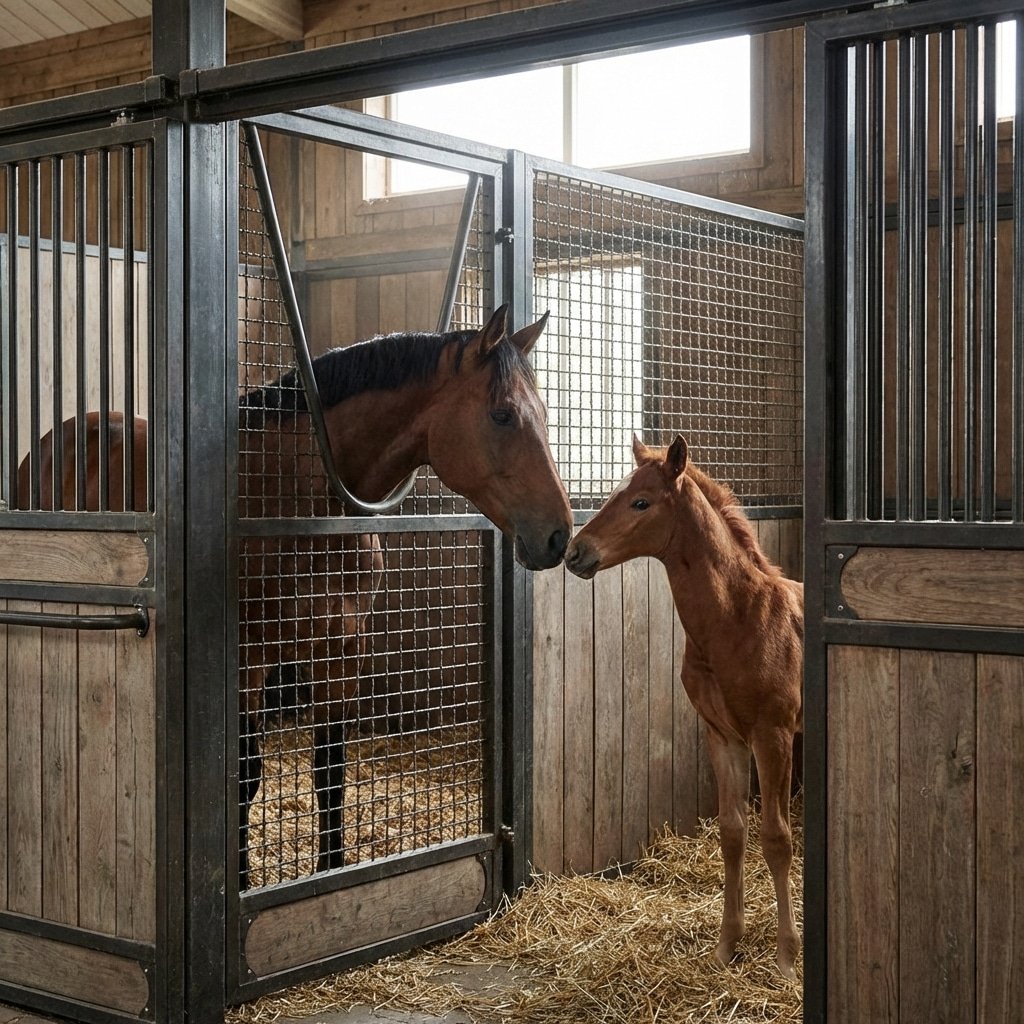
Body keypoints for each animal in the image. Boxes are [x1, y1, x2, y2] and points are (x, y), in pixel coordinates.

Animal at [17, 304, 573, 887]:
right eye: (503, 415)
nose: (559, 535)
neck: (304, 498)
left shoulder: (340, 651)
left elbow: (330, 771)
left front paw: (329, 875)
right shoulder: (247, 656)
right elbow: (243, 776)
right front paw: (239, 882)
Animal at [564, 435, 802, 980]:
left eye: (640, 502)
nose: (575, 552)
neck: (738, 619)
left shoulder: (773, 735)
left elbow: (777, 838)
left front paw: (785, 958)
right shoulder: (723, 736)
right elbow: (733, 833)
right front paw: (727, 946)